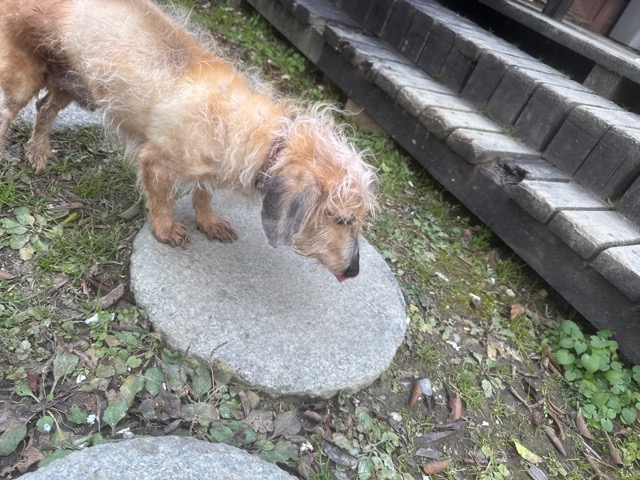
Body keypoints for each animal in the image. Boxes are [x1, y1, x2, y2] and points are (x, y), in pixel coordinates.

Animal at [0, 0, 375, 281]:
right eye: (342, 220)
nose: (355, 271)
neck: (263, 139)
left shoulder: (210, 173)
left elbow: (204, 194)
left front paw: (208, 221)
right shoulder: (155, 162)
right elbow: (162, 200)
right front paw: (166, 229)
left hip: (68, 82)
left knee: (45, 109)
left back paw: (38, 152)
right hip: (24, 78)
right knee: (9, 112)